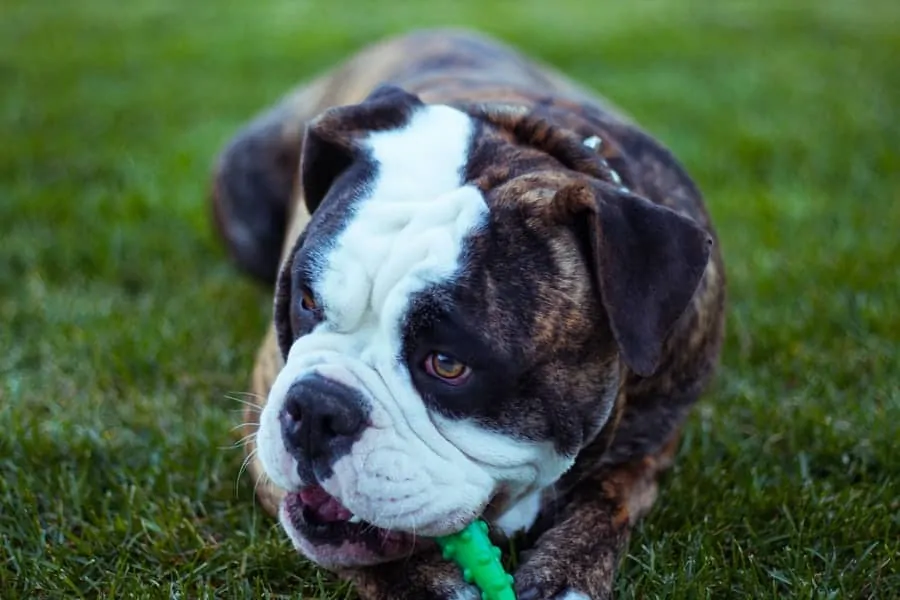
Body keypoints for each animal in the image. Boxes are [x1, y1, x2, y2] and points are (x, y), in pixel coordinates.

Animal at [209, 29, 724, 600]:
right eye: (306, 302)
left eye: (447, 364)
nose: (317, 408)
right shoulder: (260, 414)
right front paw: (428, 584)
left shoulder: (654, 443)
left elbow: (610, 498)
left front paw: (567, 572)